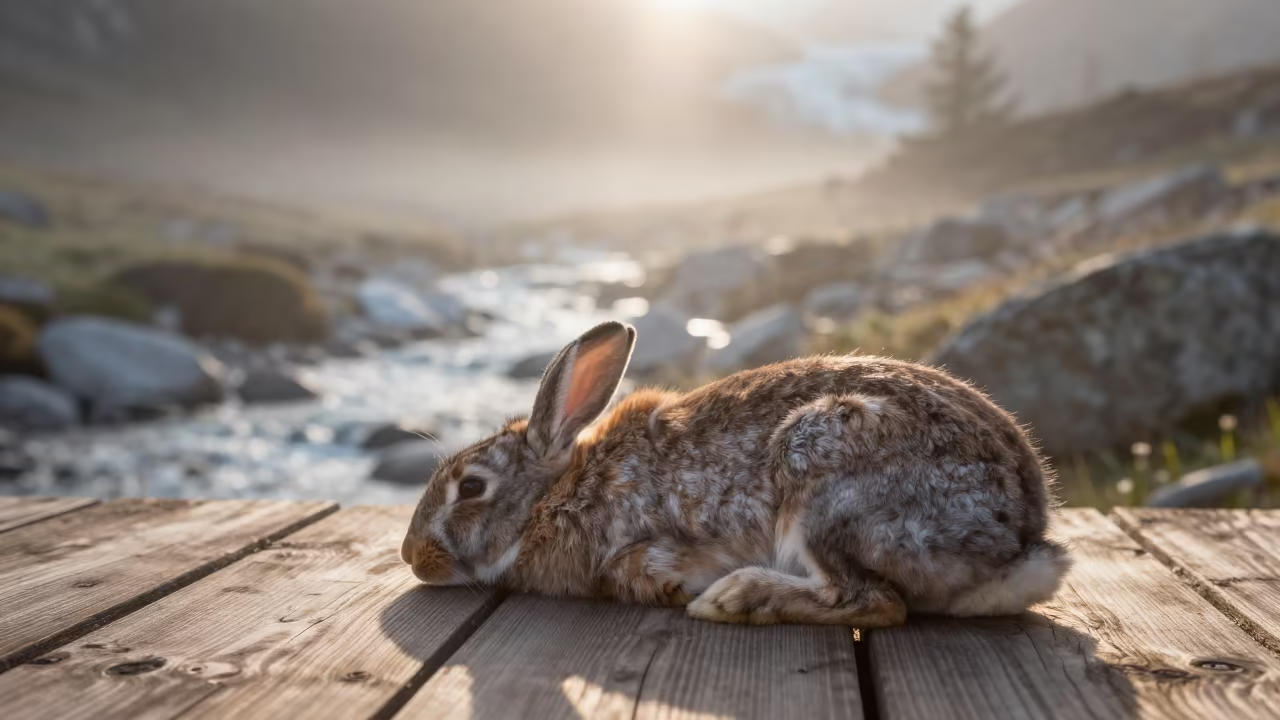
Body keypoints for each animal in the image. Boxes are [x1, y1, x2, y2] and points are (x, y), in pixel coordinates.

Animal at [401, 320, 1071, 627]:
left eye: (470, 486)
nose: (411, 556)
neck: (553, 497)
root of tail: (1021, 541)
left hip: (823, 477)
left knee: (875, 602)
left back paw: (735, 598)